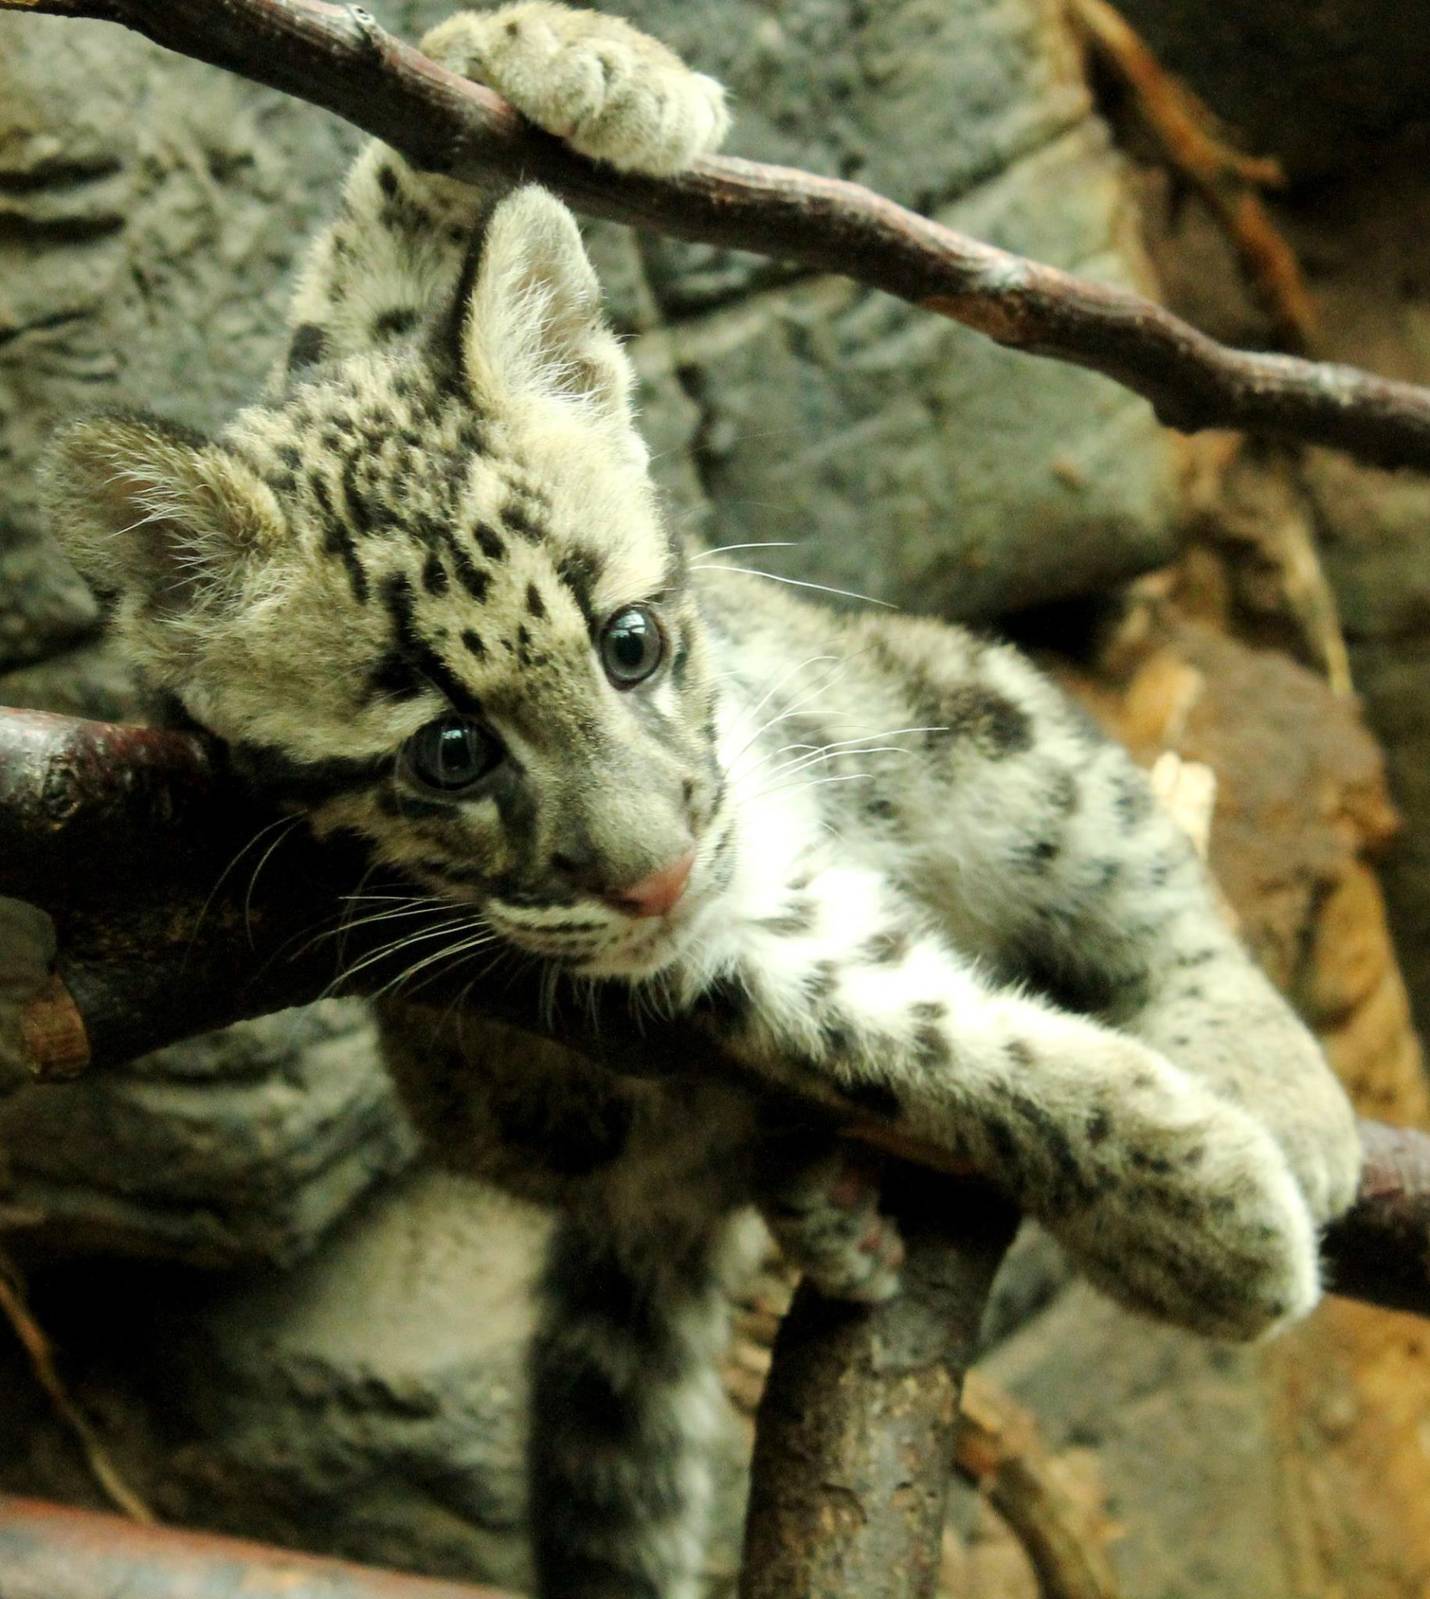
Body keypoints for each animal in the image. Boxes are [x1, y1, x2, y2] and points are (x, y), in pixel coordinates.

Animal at [40, 6, 1362, 1595]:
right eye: (449, 752)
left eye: (629, 640)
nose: (658, 870)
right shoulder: (712, 956)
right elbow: (924, 1040)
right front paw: (1208, 1219)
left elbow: (374, 248)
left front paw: (581, 72)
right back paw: (828, 1211)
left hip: (941, 706)